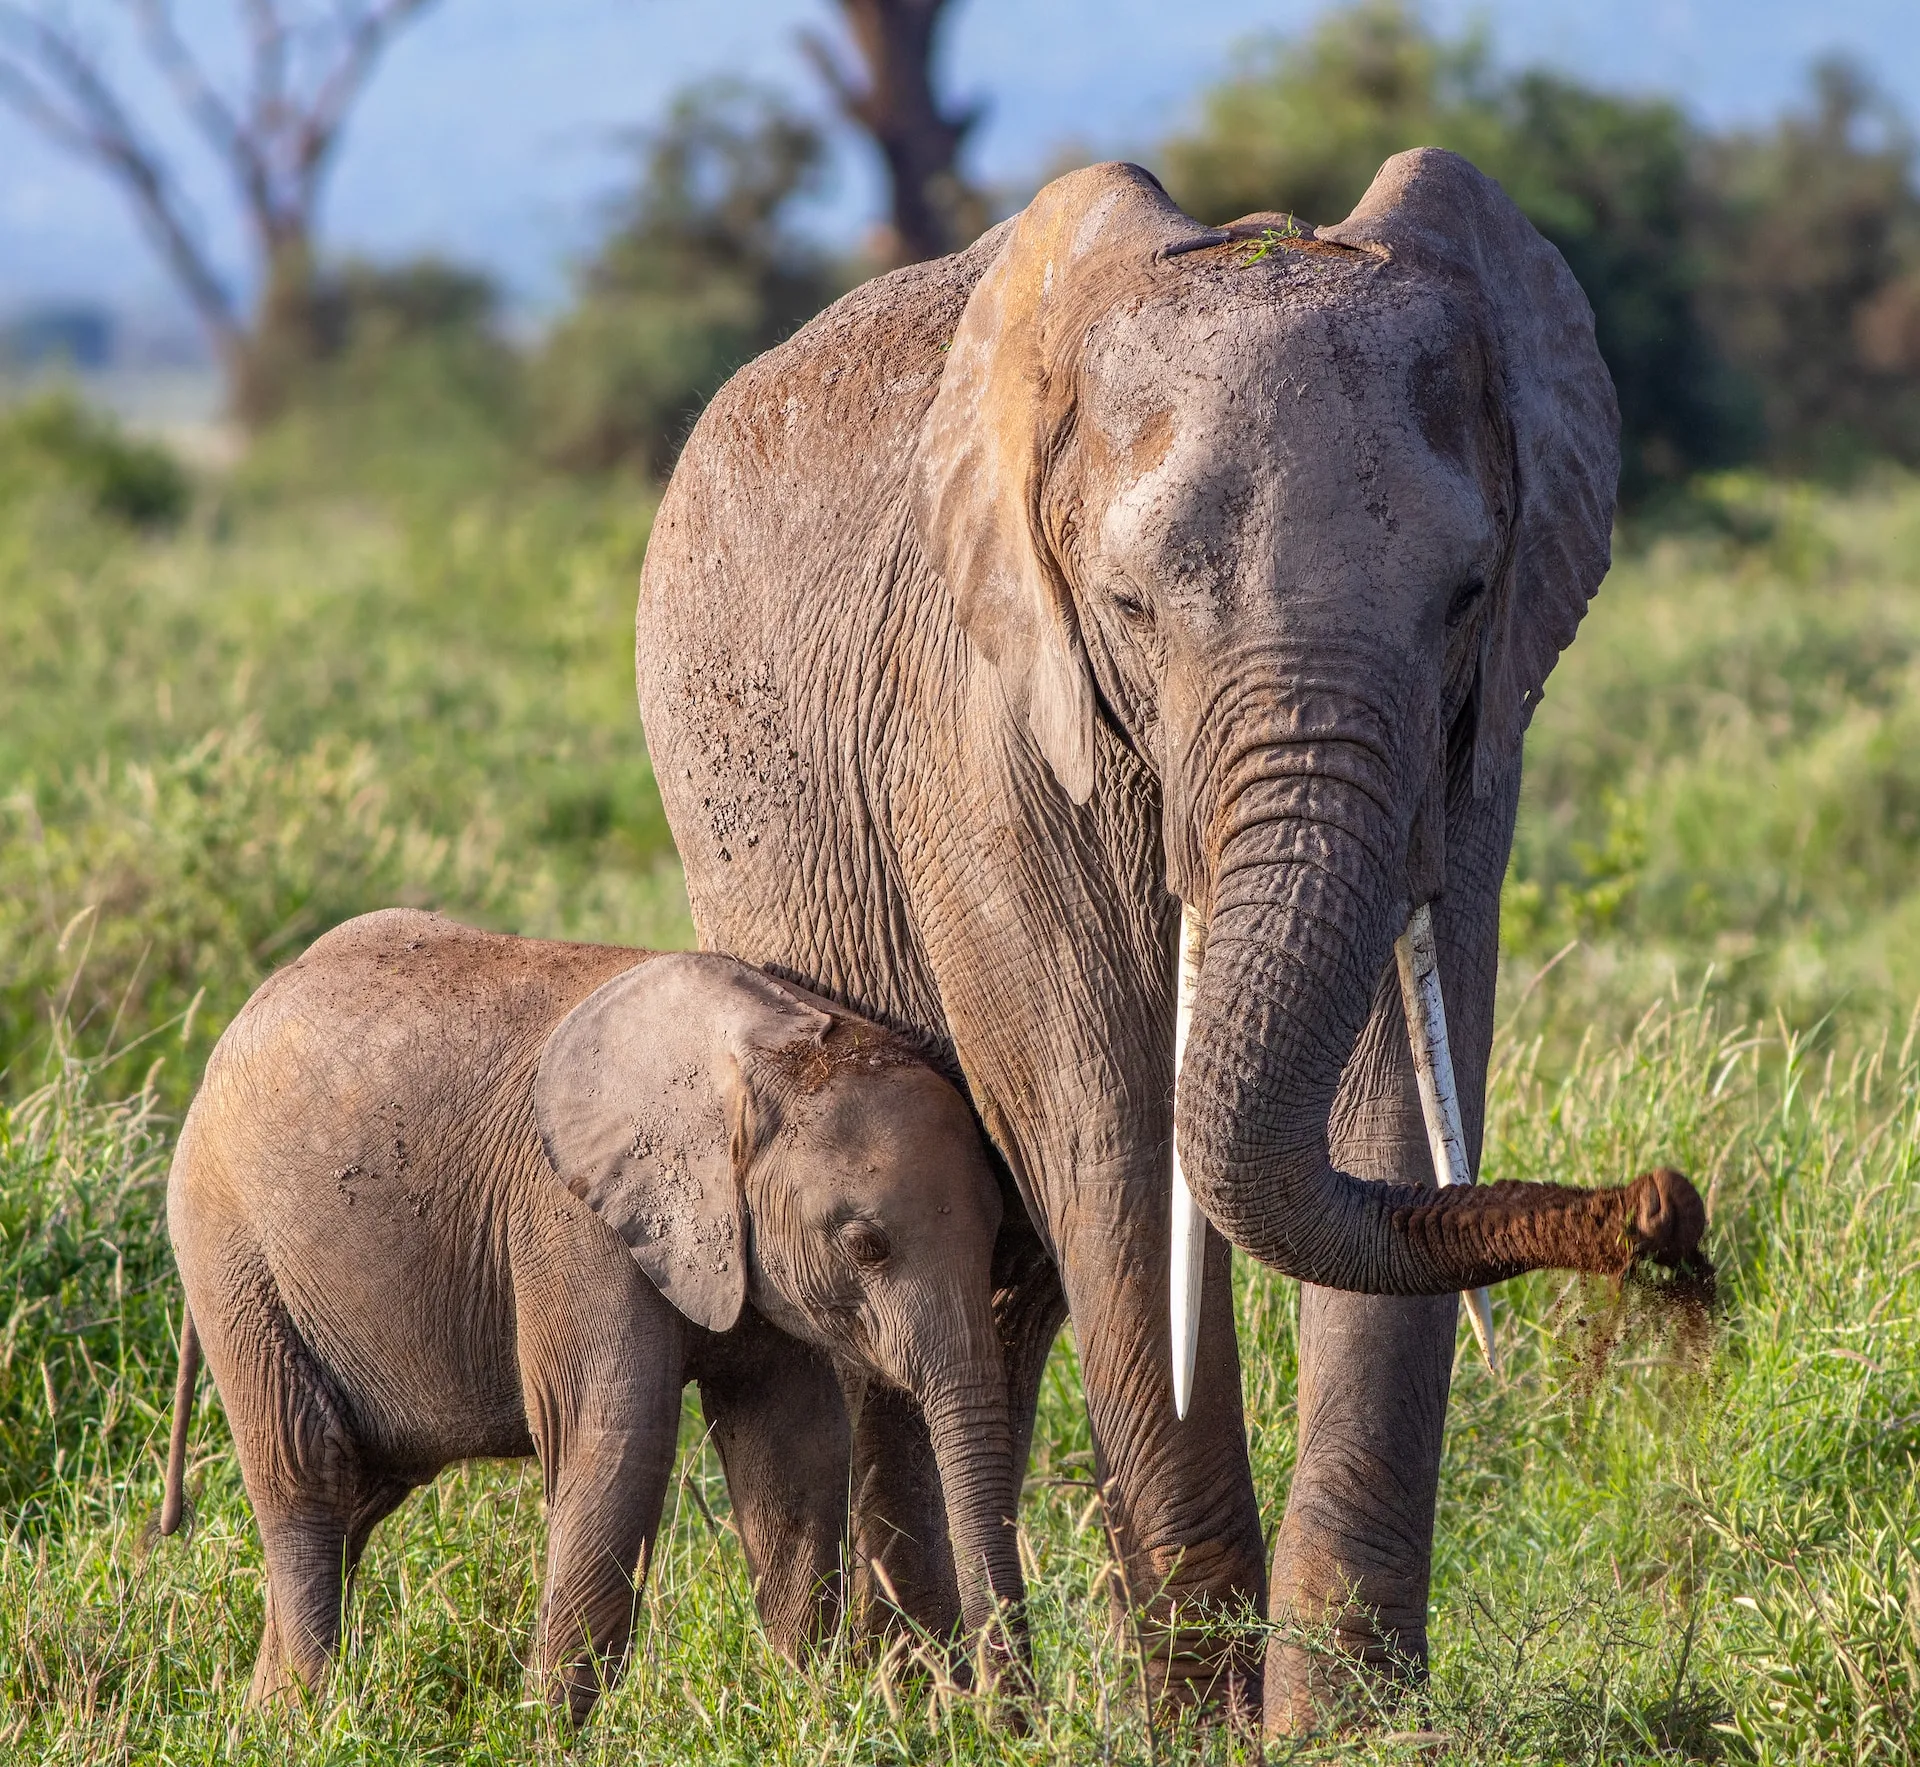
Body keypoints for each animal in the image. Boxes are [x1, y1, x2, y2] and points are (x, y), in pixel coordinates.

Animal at [165, 910, 1029, 1728]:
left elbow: (795, 1449)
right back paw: (312, 1720)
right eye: (865, 1244)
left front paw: (810, 1710)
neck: (765, 1044)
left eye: (1001, 1230)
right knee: (307, 1478)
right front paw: (547, 1737)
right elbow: (615, 1441)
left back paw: (264, 1718)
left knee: (358, 1497)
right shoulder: (572, 1220)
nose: (1006, 1720)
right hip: (232, 1254)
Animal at [641, 151, 1635, 1728]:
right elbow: (1110, 1133)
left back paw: (979, 1699)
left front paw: (1347, 1729)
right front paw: (1204, 1725)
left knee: (999, 1298)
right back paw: (924, 1707)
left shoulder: (1475, 748)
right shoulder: (990, 727)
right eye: (1126, 608)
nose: (1661, 1207)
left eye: (1469, 595)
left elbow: (1398, 1122)